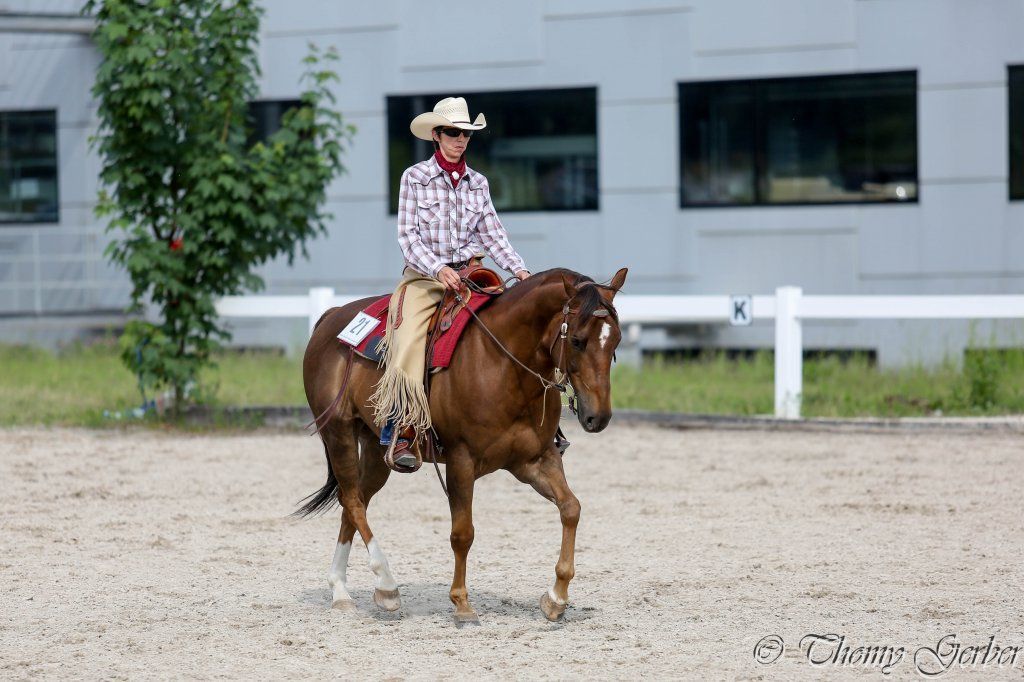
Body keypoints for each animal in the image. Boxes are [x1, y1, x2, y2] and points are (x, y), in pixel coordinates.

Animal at [296, 266, 627, 624]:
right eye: (577, 340)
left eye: (616, 341)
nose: (598, 417)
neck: (502, 363)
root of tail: (330, 317)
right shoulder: (461, 460)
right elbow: (462, 533)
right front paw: (461, 603)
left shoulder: (536, 460)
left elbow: (571, 508)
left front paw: (556, 598)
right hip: (338, 432)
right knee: (353, 502)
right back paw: (385, 586)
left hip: (374, 448)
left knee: (354, 502)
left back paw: (341, 590)